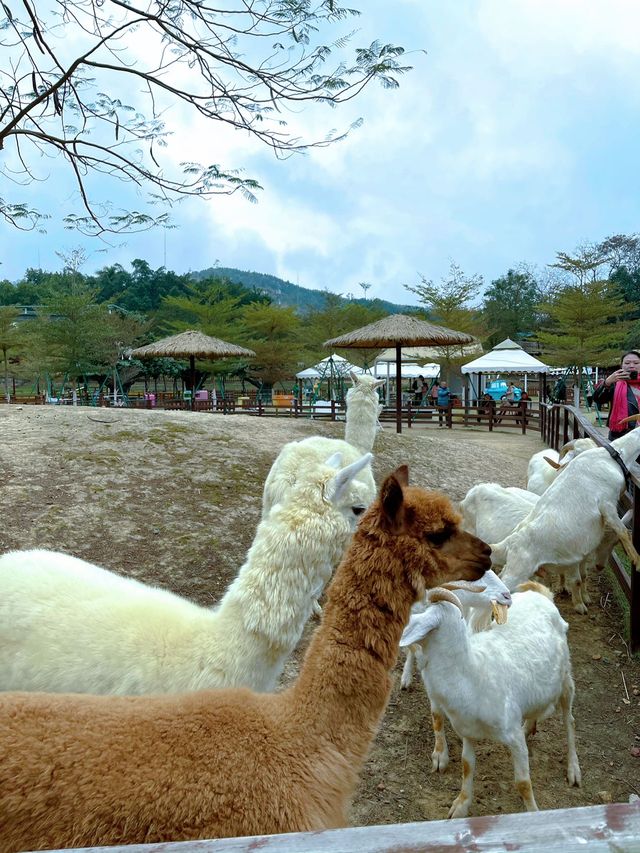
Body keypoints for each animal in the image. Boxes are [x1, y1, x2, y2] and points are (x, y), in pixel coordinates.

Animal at [402, 584, 584, 816]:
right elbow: (467, 766)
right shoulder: (467, 731)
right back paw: (529, 726)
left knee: (570, 721)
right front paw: (460, 806)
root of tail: (538, 593)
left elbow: (523, 783)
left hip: (566, 680)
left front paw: (533, 812)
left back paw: (573, 768)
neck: (471, 672)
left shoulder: (513, 736)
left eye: (421, 611)